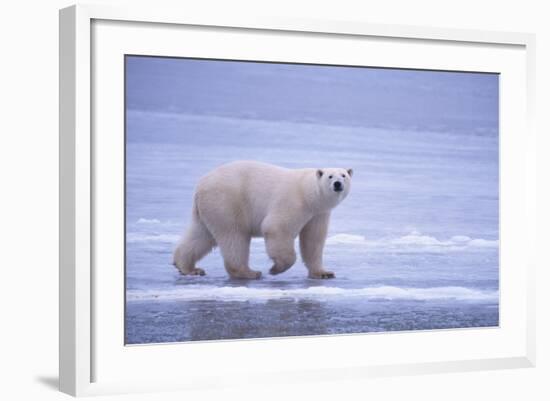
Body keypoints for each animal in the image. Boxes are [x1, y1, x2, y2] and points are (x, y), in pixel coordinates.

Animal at [172, 159, 354, 278]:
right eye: (330, 176)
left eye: (344, 175)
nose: (338, 184)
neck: (308, 193)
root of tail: (200, 186)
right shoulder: (293, 202)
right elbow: (276, 227)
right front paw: (276, 268)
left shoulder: (318, 213)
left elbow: (313, 241)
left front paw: (324, 273)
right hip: (227, 201)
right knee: (234, 236)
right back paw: (248, 272)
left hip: (210, 208)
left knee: (201, 235)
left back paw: (188, 267)